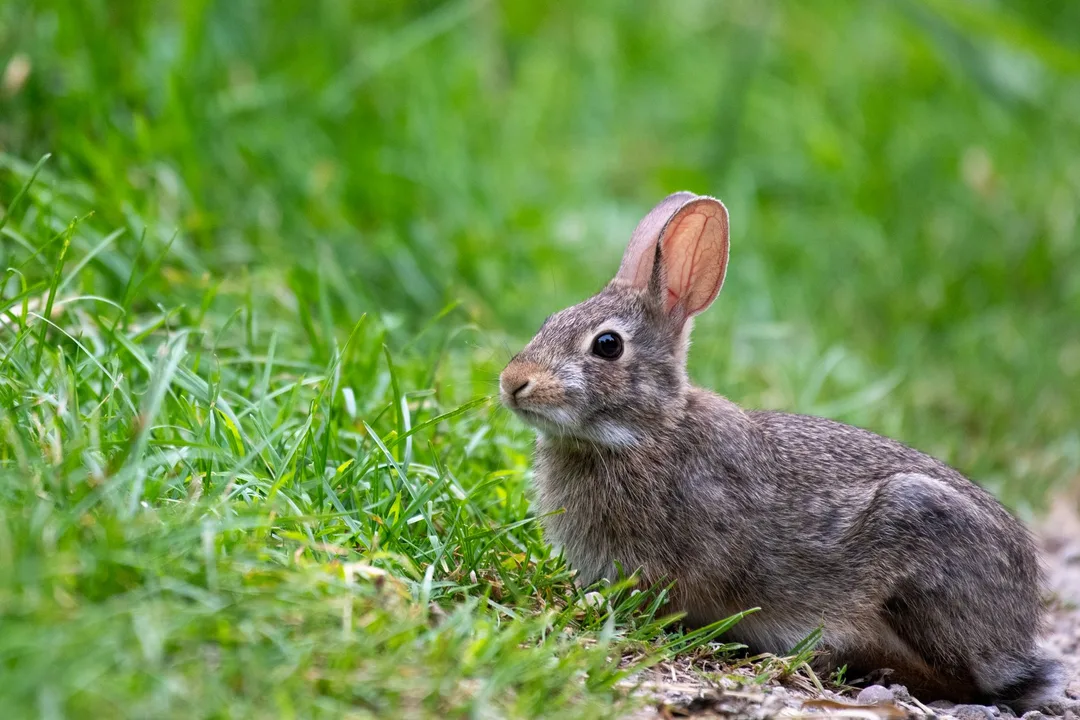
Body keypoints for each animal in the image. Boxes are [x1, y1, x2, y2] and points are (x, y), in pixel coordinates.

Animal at [498, 192, 1069, 711]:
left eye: (607, 345)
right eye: (550, 320)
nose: (512, 382)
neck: (647, 432)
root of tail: (1016, 633)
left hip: (920, 531)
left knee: (959, 680)